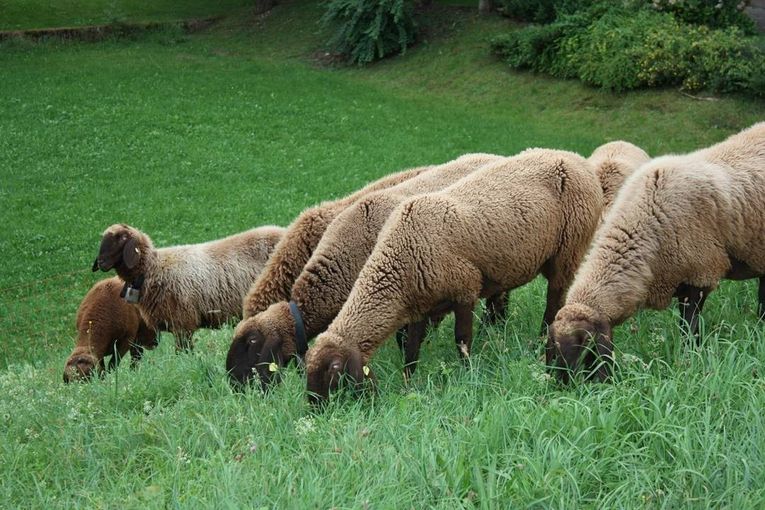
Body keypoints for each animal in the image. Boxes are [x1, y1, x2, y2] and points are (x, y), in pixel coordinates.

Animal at [304, 147, 608, 402]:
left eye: (330, 376)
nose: (315, 412)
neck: (399, 261)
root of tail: (576, 159)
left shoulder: (466, 288)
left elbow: (462, 340)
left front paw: (467, 374)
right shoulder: (419, 306)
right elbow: (411, 350)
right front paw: (408, 384)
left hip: (569, 250)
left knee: (554, 300)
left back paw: (540, 339)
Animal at [548, 122, 764, 382]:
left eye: (582, 348)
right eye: (553, 349)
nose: (563, 387)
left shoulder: (700, 274)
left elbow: (690, 328)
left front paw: (691, 359)